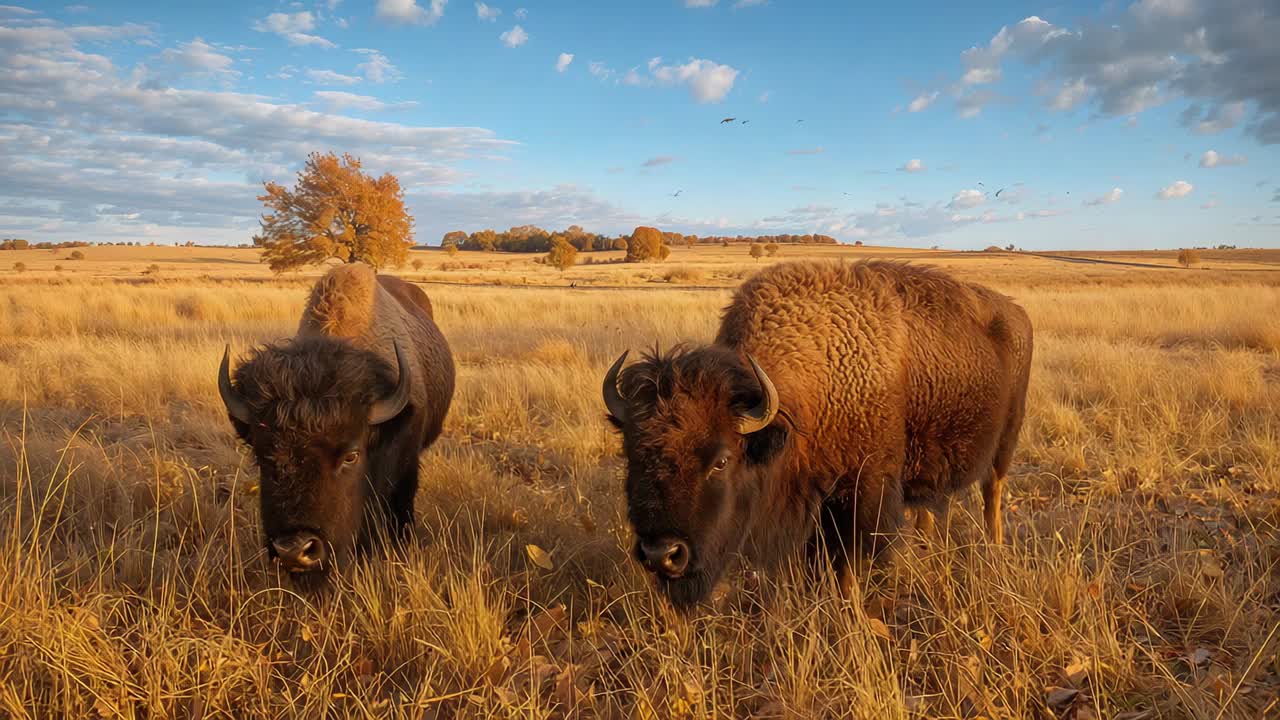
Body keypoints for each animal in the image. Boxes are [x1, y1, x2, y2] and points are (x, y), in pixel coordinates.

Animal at [603, 260, 1033, 608]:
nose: (662, 554)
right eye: (631, 453)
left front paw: (850, 608)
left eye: (722, 460)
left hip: (1007, 438)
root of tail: (1016, 312)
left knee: (993, 491)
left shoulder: (861, 494)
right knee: (928, 503)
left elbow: (846, 562)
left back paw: (994, 548)